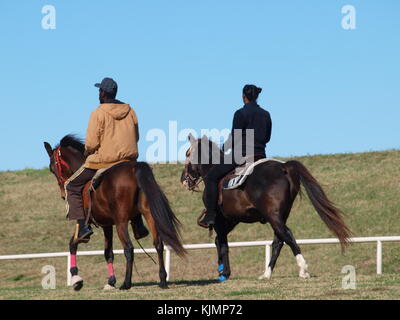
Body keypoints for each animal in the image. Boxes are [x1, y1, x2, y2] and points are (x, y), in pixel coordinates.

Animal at [43, 135, 186, 290]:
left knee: (129, 248)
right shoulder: (107, 225)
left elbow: (73, 244)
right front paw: (111, 281)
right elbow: (108, 253)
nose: (63, 195)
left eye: (51, 168)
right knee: (158, 244)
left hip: (121, 222)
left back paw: (127, 283)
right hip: (149, 215)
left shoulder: (86, 224)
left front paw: (76, 279)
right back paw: (162, 280)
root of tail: (133, 168)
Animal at [180, 136, 350, 282]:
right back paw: (267, 273)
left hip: (273, 216)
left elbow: (222, 243)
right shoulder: (232, 219)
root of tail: (283, 167)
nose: (183, 180)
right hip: (279, 215)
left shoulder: (220, 220)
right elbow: (220, 241)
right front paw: (223, 271)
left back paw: (302, 269)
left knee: (287, 235)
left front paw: (224, 272)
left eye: (187, 153)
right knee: (279, 241)